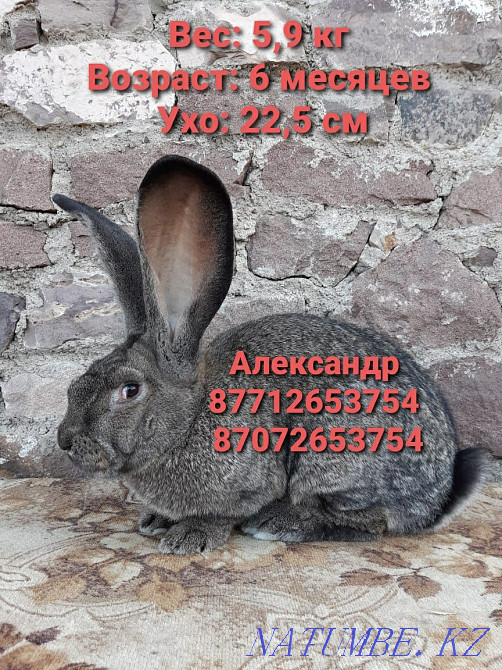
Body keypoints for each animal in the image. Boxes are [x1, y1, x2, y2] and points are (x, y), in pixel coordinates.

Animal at [54, 155, 488, 555]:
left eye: (129, 390)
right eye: (76, 384)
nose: (64, 441)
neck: (190, 418)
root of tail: (438, 497)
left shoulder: (250, 482)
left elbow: (223, 514)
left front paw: (189, 536)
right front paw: (157, 520)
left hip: (337, 462)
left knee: (371, 522)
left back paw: (278, 523)